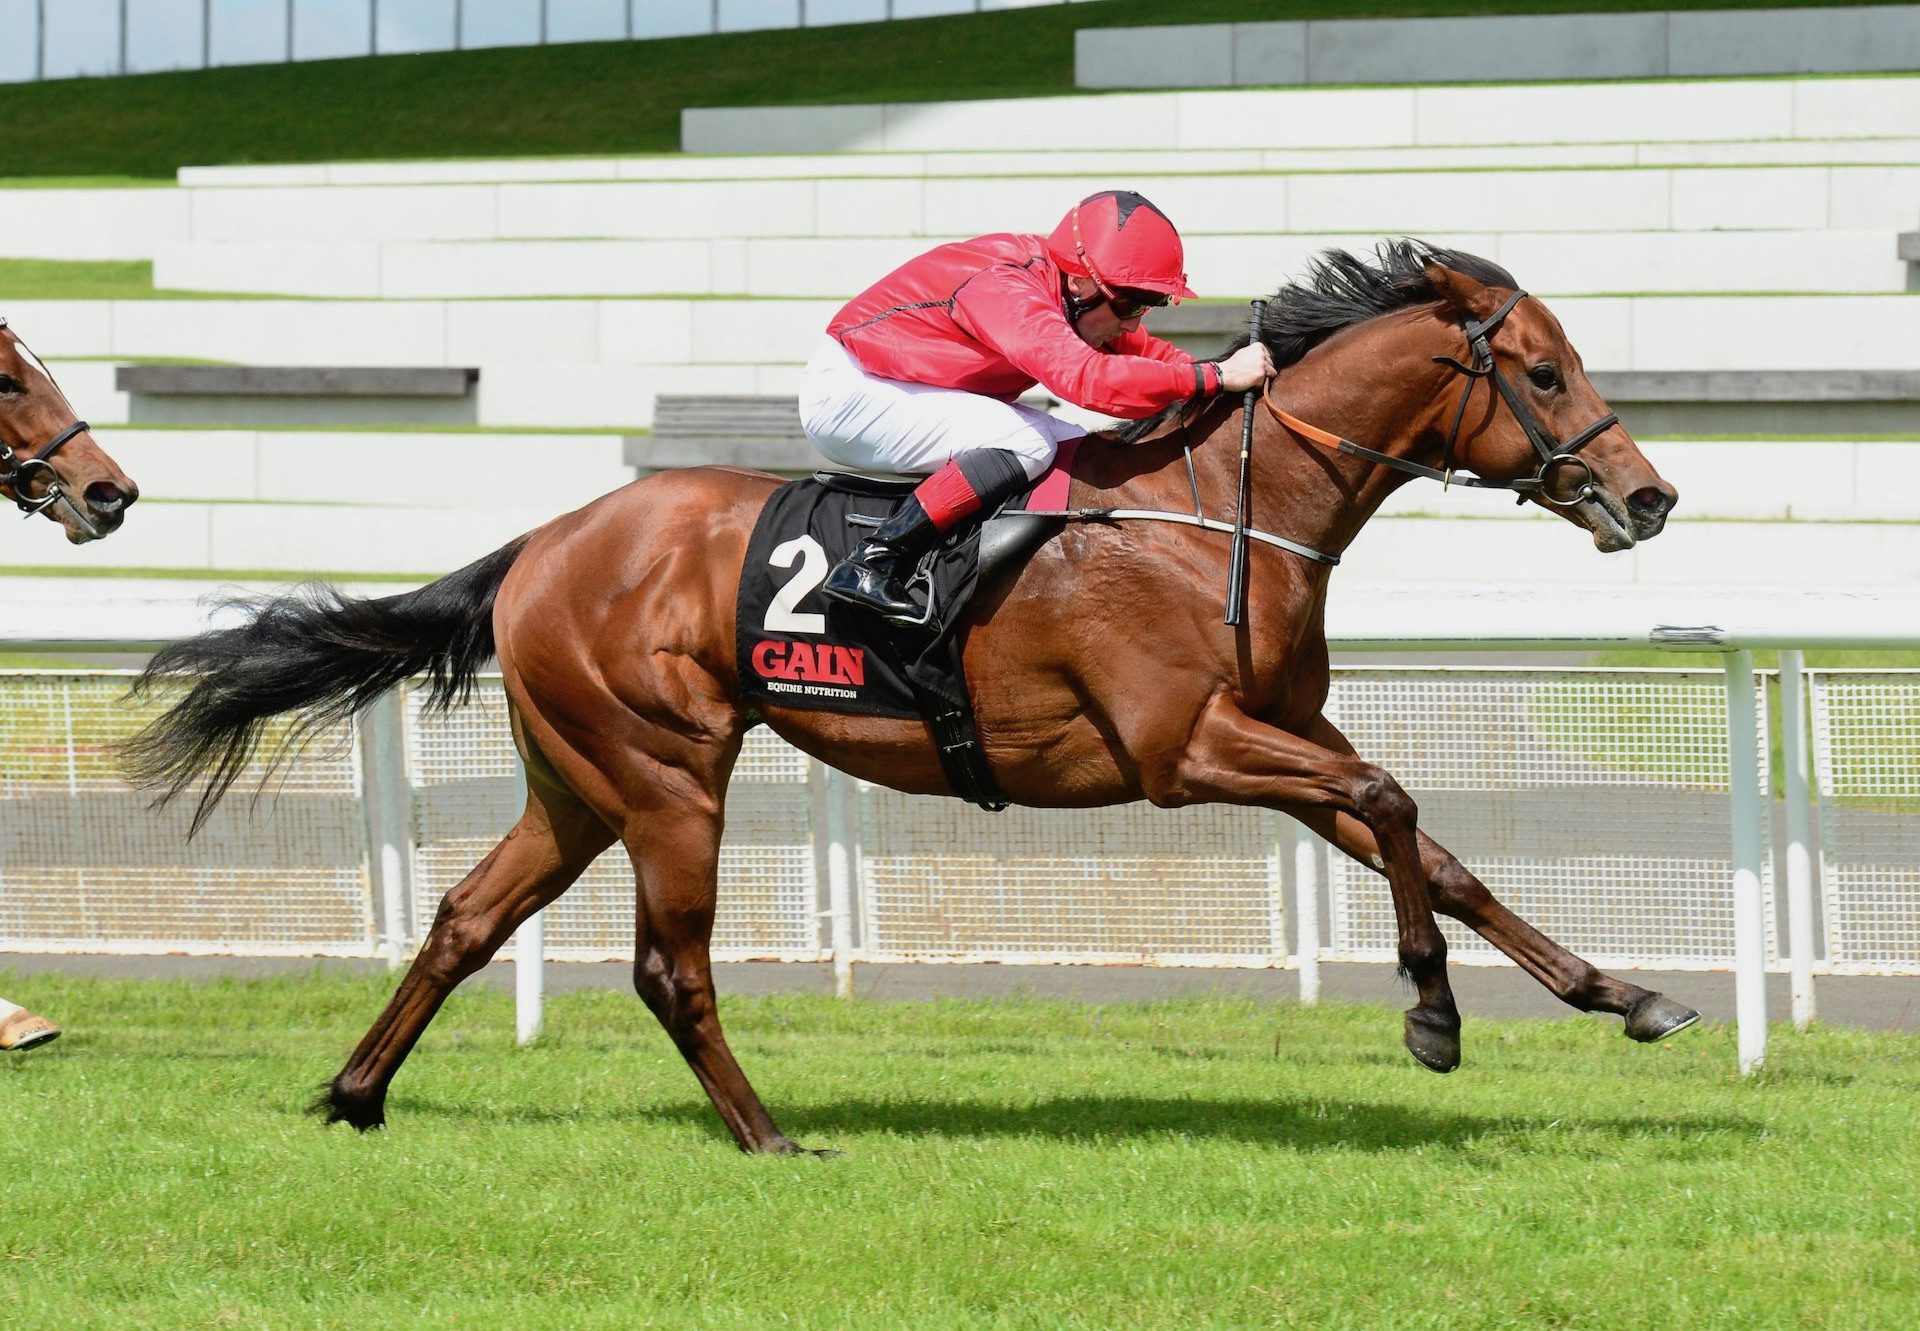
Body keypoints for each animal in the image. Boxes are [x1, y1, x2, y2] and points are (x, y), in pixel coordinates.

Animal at [127, 245, 1704, 1152]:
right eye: (1545, 368)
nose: (1651, 496)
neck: (1219, 504)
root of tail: (547, 540)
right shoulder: (1189, 747)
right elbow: (1395, 801)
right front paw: (1432, 1013)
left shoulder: (1282, 730)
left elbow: (1432, 843)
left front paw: (1623, 993)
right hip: (667, 774)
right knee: (668, 967)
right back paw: (767, 1136)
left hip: (576, 782)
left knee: (464, 918)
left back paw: (357, 1091)